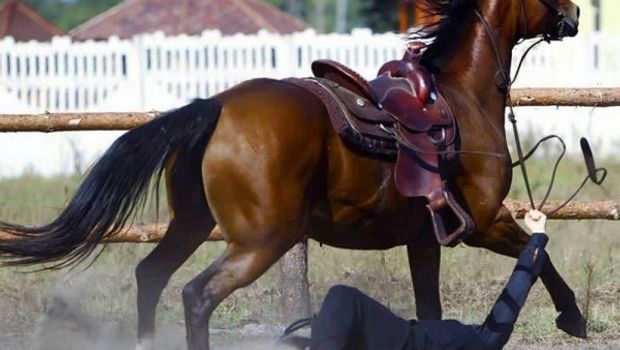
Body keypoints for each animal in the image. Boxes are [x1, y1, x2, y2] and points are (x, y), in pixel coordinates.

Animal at [0, 0, 584, 350]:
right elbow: (542, 254)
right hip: (262, 240)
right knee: (195, 295)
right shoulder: (484, 223)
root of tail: (216, 105)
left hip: (192, 224)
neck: (458, 97)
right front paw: (572, 318)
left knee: (152, 275)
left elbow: (430, 305)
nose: (575, 12)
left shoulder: (424, 240)